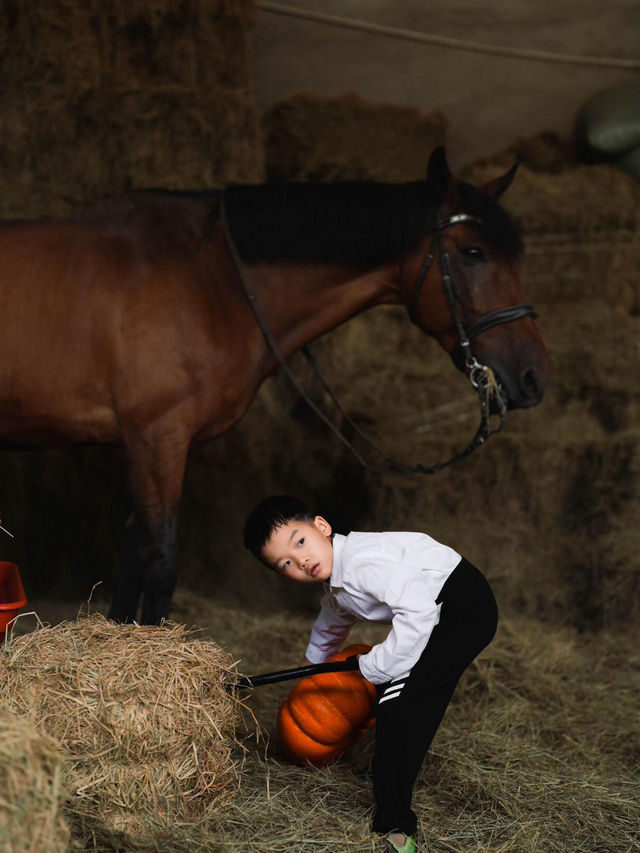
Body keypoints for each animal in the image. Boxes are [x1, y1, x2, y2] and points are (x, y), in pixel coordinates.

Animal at [0, 150, 552, 624]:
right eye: (474, 252)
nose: (533, 377)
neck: (210, 279)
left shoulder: (142, 449)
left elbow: (134, 555)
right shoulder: (158, 440)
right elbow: (158, 561)